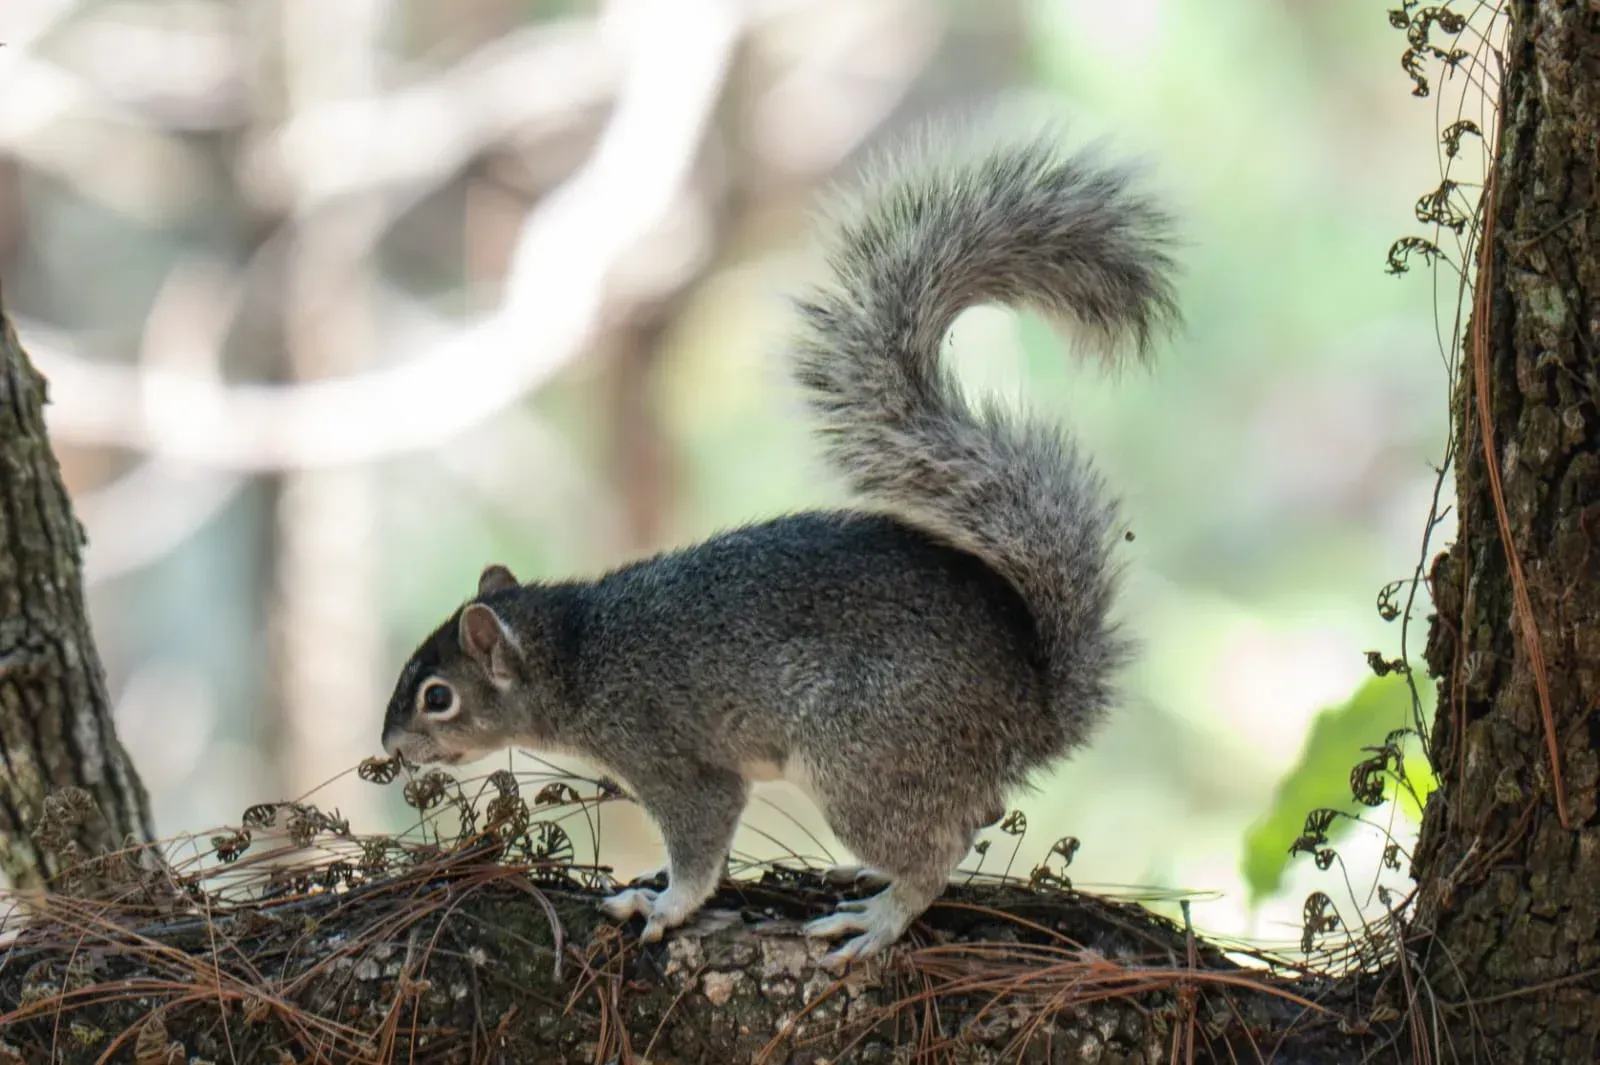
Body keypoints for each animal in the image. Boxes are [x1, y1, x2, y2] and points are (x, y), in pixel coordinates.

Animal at [380, 128, 1180, 966]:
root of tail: (1033, 705)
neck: (576, 651)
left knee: (939, 850)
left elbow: (700, 841)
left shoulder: (671, 757)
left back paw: (878, 917)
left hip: (863, 753)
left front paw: (662, 904)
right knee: (974, 814)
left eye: (437, 696)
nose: (390, 745)